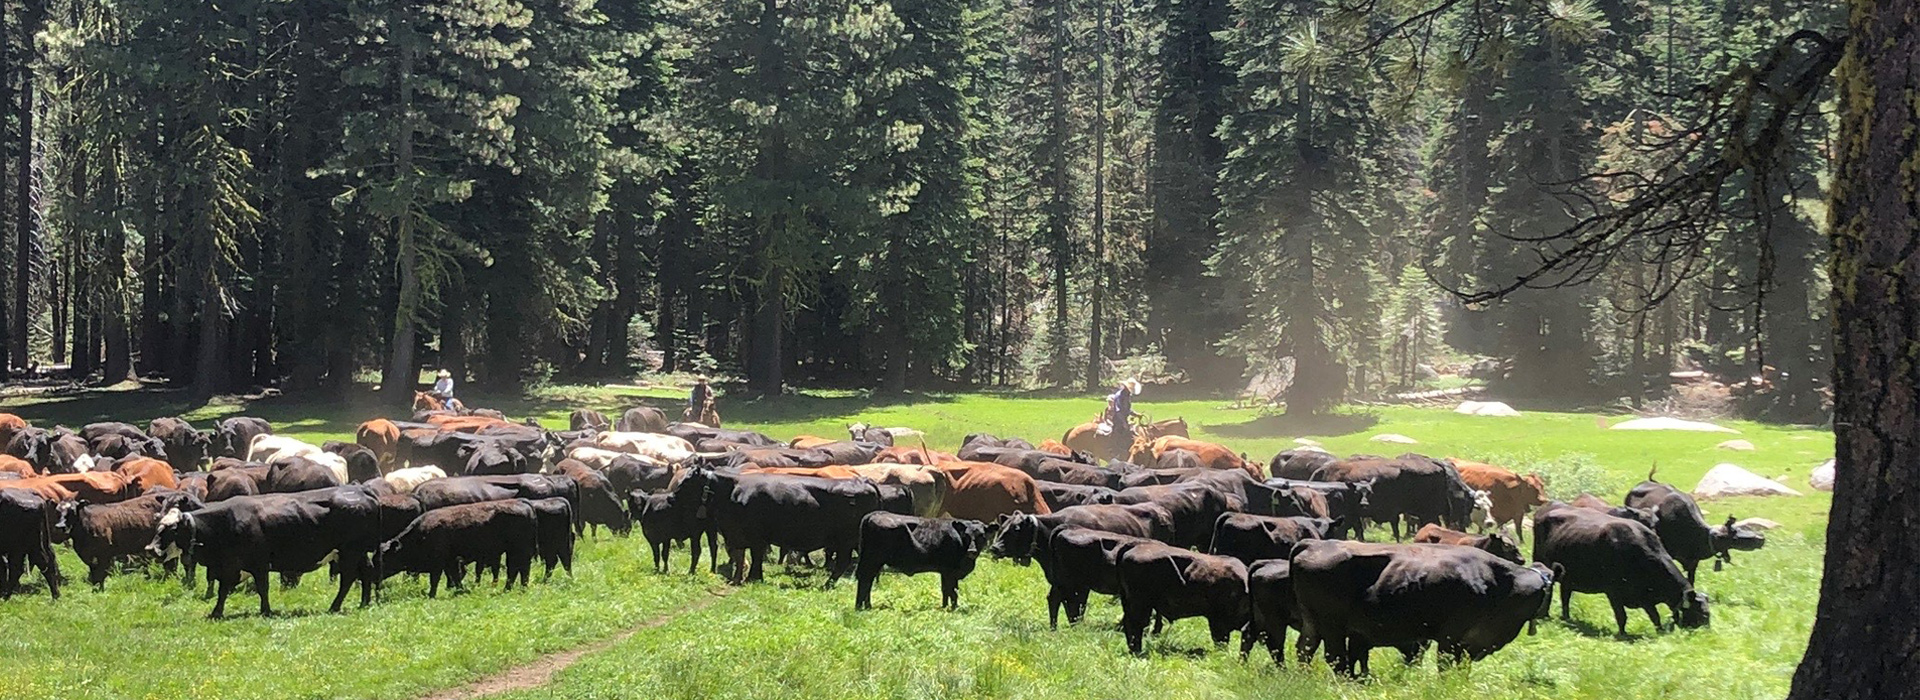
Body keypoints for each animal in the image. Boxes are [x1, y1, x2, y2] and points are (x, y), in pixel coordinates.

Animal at [375, 499, 540, 596]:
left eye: (384, 559)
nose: (374, 578)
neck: (422, 533)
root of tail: (523, 502)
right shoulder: (451, 561)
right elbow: (455, 576)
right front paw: (460, 590)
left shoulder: (438, 563)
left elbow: (435, 579)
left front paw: (431, 595)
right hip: (513, 551)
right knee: (516, 570)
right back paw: (511, 588)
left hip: (519, 550)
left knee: (520, 569)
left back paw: (518, 589)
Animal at [853, 513, 990, 610]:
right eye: (966, 535)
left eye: (982, 536)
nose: (972, 551)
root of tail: (873, 514)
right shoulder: (950, 571)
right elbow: (952, 590)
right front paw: (954, 608)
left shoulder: (945, 572)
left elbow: (946, 590)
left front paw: (945, 607)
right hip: (872, 559)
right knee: (865, 579)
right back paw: (860, 607)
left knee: (867, 580)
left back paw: (867, 606)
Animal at [1114, 542, 1250, 655]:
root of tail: (1134, 547)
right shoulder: (1218, 620)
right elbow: (1220, 639)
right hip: (1140, 604)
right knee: (1136, 624)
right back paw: (1137, 651)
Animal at [1290, 540, 1556, 676]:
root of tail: (1312, 544)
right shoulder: (1449, 638)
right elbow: (1445, 666)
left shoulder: (1467, 644)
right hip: (1332, 627)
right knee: (1336, 659)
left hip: (1313, 625)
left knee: (1305, 650)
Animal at [1531, 502, 1710, 635]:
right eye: (1703, 613)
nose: (1706, 634)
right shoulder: (1613, 592)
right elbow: (1621, 616)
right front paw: (1622, 634)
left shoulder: (1645, 597)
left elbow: (1655, 617)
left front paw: (1659, 632)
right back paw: (1545, 615)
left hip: (1567, 576)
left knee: (1565, 596)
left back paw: (1566, 618)